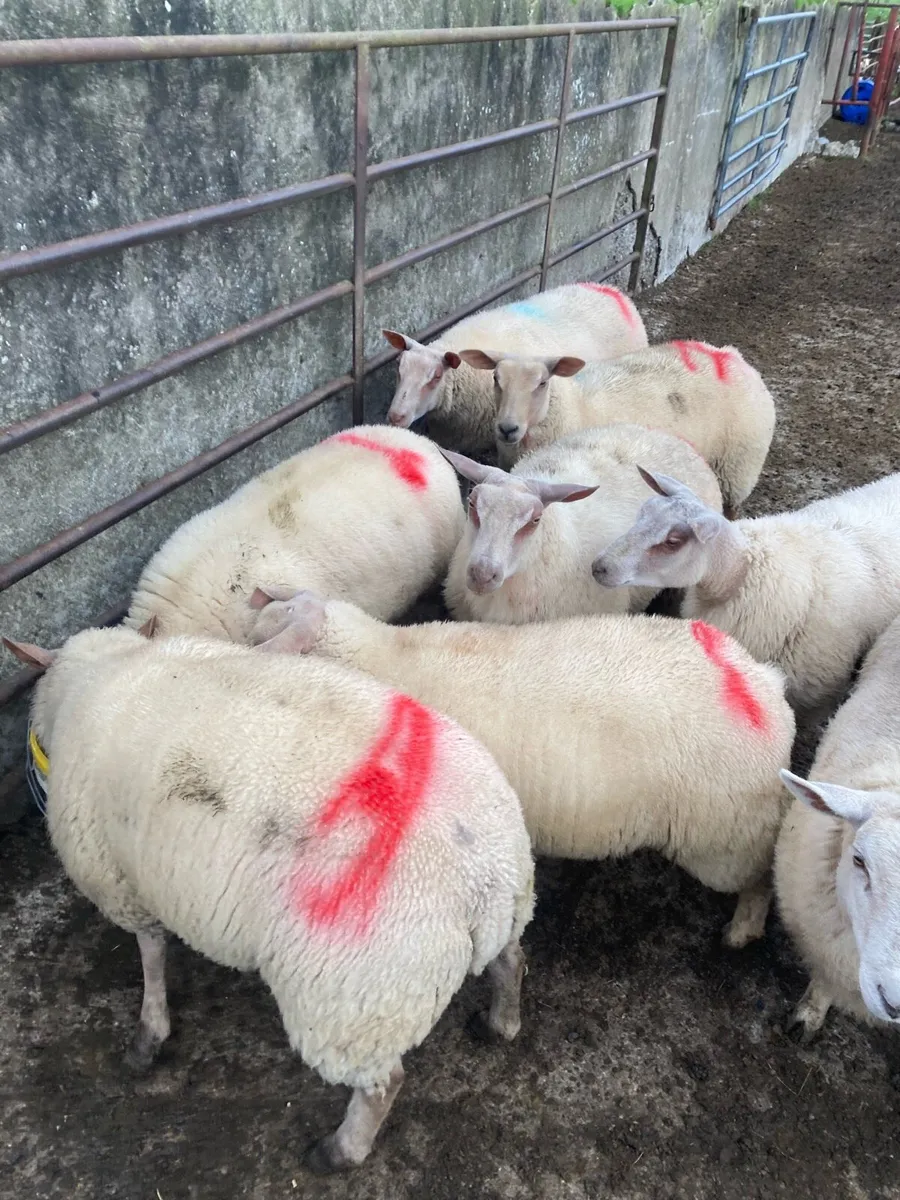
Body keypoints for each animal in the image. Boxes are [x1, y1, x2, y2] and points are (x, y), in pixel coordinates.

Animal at [2, 628, 534, 1173]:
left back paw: (339, 1151)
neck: (113, 666)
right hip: (503, 917)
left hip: (353, 1002)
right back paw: (500, 1023)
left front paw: (148, 1034)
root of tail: (485, 874)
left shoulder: (120, 880)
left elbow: (150, 954)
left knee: (383, 1084)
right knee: (511, 961)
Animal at [248, 590, 796, 949]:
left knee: (760, 877)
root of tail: (763, 687)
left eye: (271, 627)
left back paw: (742, 930)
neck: (386, 657)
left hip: (726, 836)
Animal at [463, 340, 775, 515]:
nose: (507, 428)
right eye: (496, 378)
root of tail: (732, 356)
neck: (574, 405)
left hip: (737, 469)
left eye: (542, 383)